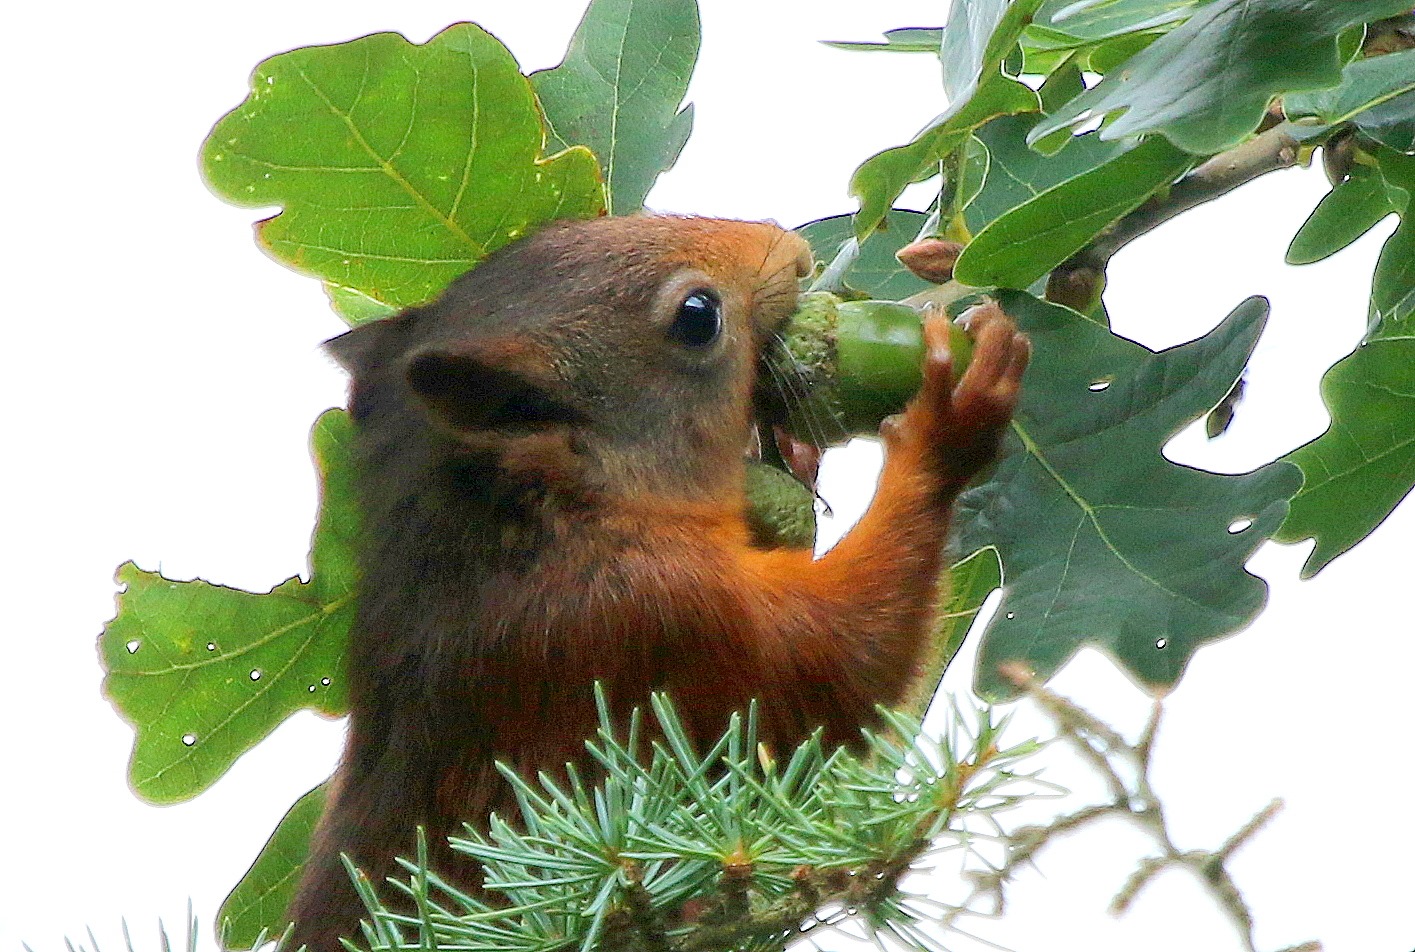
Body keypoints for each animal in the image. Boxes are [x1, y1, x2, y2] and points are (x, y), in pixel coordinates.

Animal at [287, 212, 1035, 944]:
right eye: (697, 316)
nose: (792, 253)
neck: (531, 522)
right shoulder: (655, 612)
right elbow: (837, 668)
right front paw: (946, 427)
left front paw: (795, 454)